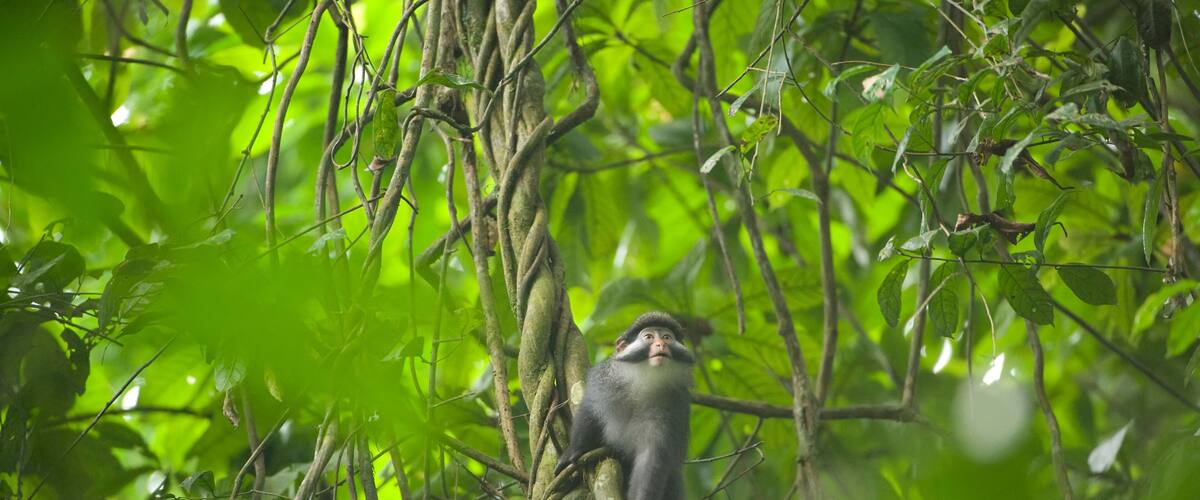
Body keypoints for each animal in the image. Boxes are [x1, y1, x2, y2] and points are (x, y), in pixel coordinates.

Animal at [555, 312, 695, 500]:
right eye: (649, 337)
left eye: (667, 337)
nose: (661, 344)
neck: (645, 382)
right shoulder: (605, 380)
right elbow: (590, 409)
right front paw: (573, 452)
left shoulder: (674, 406)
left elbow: (651, 455)